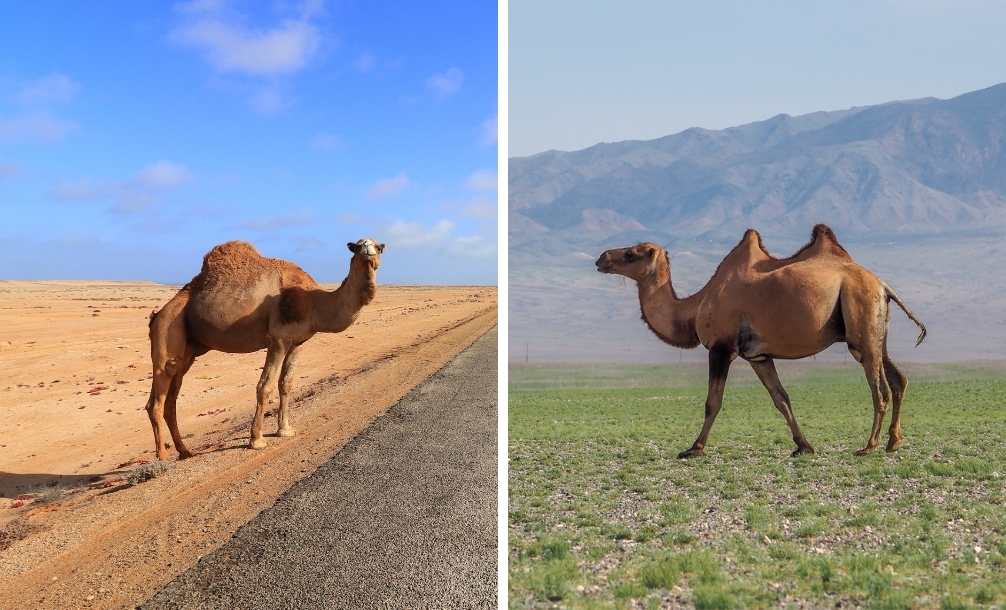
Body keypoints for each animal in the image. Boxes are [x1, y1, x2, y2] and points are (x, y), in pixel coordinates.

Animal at [145, 239, 384, 459]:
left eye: (379, 247)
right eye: (357, 246)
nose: (368, 251)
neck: (313, 301)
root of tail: (157, 315)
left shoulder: (297, 343)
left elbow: (286, 383)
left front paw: (285, 429)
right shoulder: (278, 339)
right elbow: (265, 386)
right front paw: (257, 440)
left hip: (188, 351)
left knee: (169, 400)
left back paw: (185, 451)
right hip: (169, 327)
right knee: (158, 398)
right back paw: (163, 457)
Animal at [595, 224, 925, 459]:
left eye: (632, 253)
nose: (602, 258)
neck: (696, 306)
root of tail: (882, 285)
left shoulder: (722, 348)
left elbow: (712, 402)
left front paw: (694, 448)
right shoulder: (758, 356)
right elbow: (781, 398)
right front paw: (803, 446)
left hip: (860, 322)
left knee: (880, 389)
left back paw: (868, 446)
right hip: (876, 331)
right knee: (898, 379)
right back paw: (893, 442)